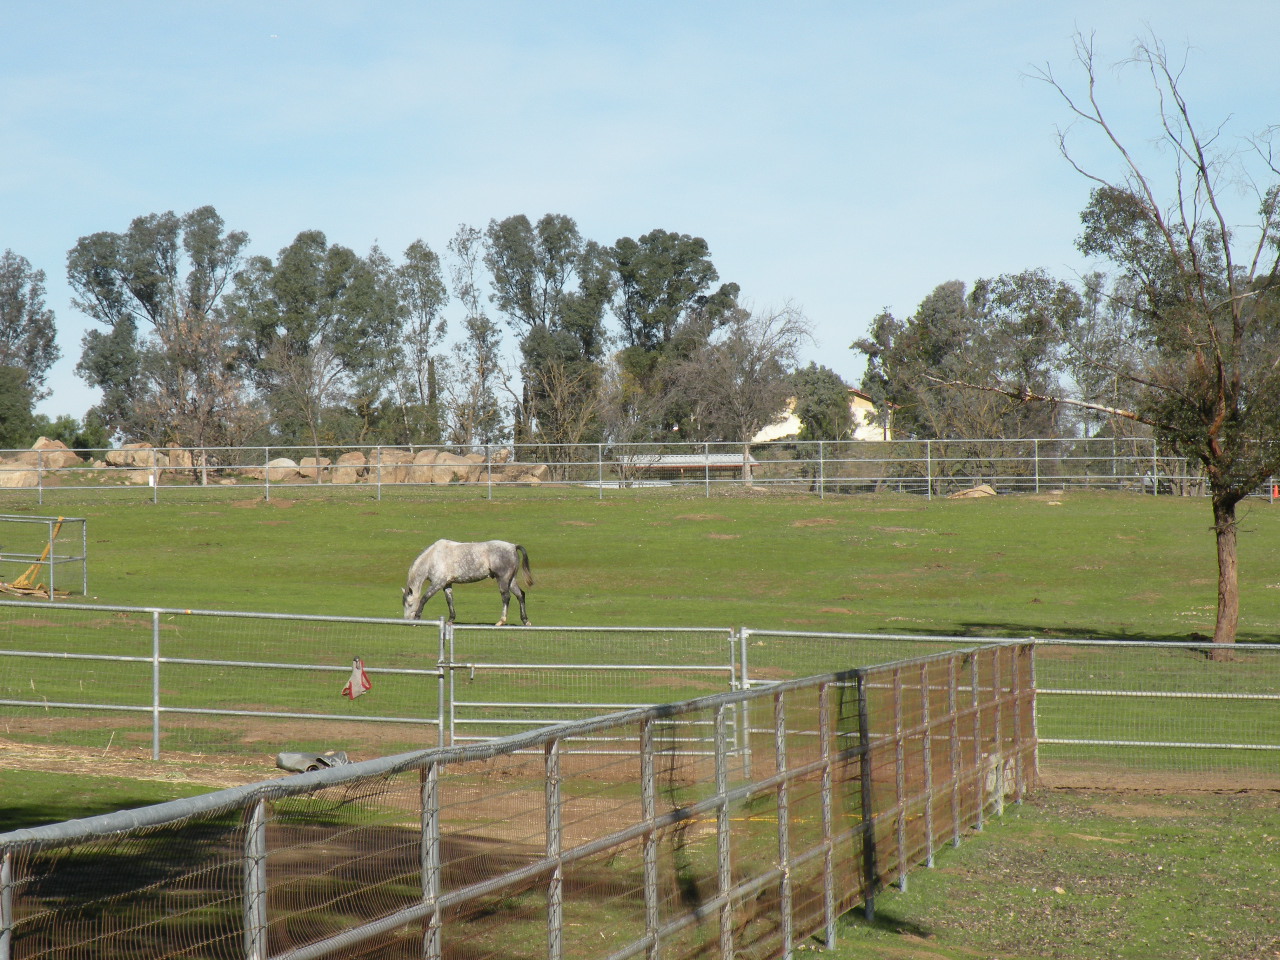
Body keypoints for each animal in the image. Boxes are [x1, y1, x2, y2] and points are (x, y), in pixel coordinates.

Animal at [404, 537, 535, 627]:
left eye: (409, 604)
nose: (406, 621)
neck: (433, 557)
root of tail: (513, 546)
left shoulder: (437, 583)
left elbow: (424, 598)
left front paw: (417, 619)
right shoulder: (447, 584)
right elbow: (449, 600)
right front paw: (451, 619)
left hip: (503, 579)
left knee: (506, 597)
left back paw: (501, 621)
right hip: (511, 581)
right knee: (520, 595)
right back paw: (525, 620)